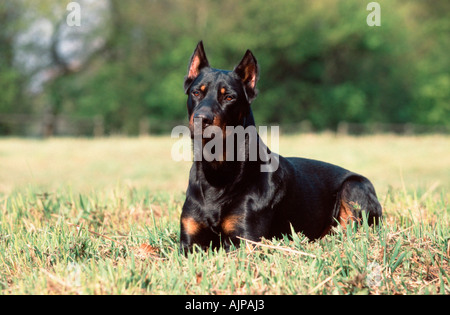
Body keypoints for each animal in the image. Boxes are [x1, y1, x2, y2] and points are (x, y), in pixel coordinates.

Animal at [178, 42, 380, 254]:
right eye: (196, 93)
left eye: (229, 97)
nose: (202, 119)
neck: (218, 172)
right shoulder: (189, 242)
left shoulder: (244, 239)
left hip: (355, 186)